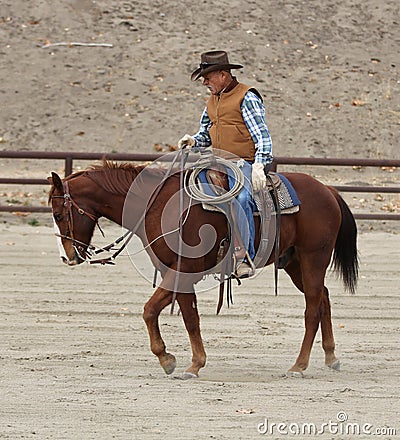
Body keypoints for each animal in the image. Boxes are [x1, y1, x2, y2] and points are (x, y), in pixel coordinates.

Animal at [48, 155, 358, 378]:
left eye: (59, 214)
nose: (67, 257)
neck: (158, 206)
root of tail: (328, 190)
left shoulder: (183, 269)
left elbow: (151, 310)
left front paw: (171, 360)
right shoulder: (175, 271)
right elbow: (189, 316)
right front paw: (190, 362)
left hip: (313, 257)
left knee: (312, 307)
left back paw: (299, 366)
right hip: (294, 262)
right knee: (323, 298)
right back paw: (331, 357)